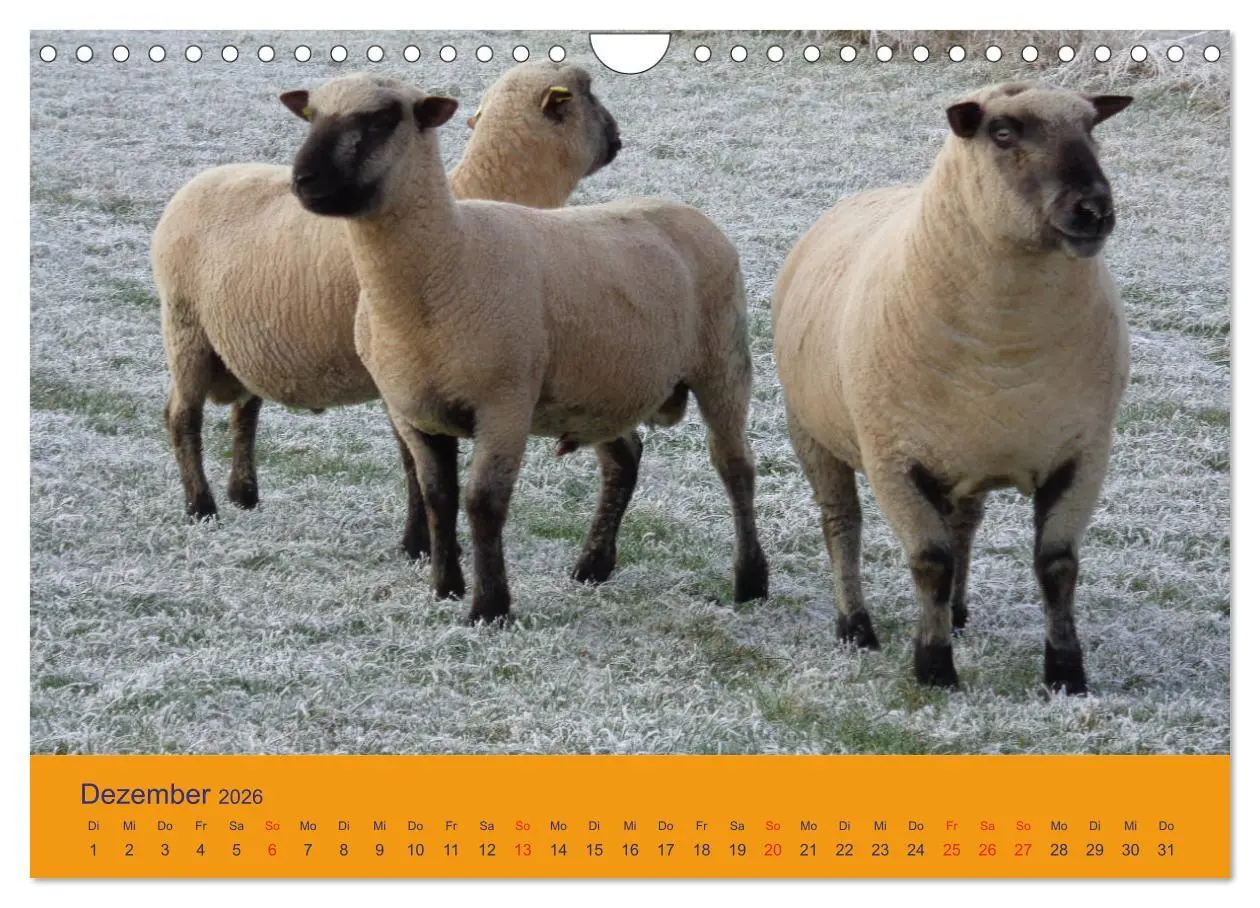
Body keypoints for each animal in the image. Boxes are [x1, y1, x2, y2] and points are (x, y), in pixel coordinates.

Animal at [151, 61, 621, 561]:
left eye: (382, 121)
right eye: (589, 93)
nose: (617, 137)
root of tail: (198, 180)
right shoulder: (398, 377)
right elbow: (414, 463)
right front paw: (419, 545)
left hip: (243, 339)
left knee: (245, 410)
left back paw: (244, 494)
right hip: (184, 325)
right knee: (182, 415)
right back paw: (201, 506)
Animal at [280, 73, 769, 623]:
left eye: (384, 119)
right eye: (311, 115)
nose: (304, 180)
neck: (442, 263)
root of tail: (690, 211)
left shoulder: (505, 404)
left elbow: (483, 504)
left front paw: (489, 609)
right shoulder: (414, 412)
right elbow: (438, 496)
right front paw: (445, 588)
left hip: (723, 363)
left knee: (735, 465)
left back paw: (751, 582)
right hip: (601, 388)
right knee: (624, 459)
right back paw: (593, 566)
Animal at [771, 83, 1133, 694]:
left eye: (1091, 128)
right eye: (1002, 133)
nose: (1093, 210)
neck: (1006, 345)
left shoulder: (1083, 452)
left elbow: (1057, 566)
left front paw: (1065, 672)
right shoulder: (893, 458)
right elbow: (930, 561)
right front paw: (934, 666)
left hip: (966, 453)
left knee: (964, 525)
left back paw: (958, 615)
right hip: (814, 432)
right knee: (842, 525)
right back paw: (856, 627)